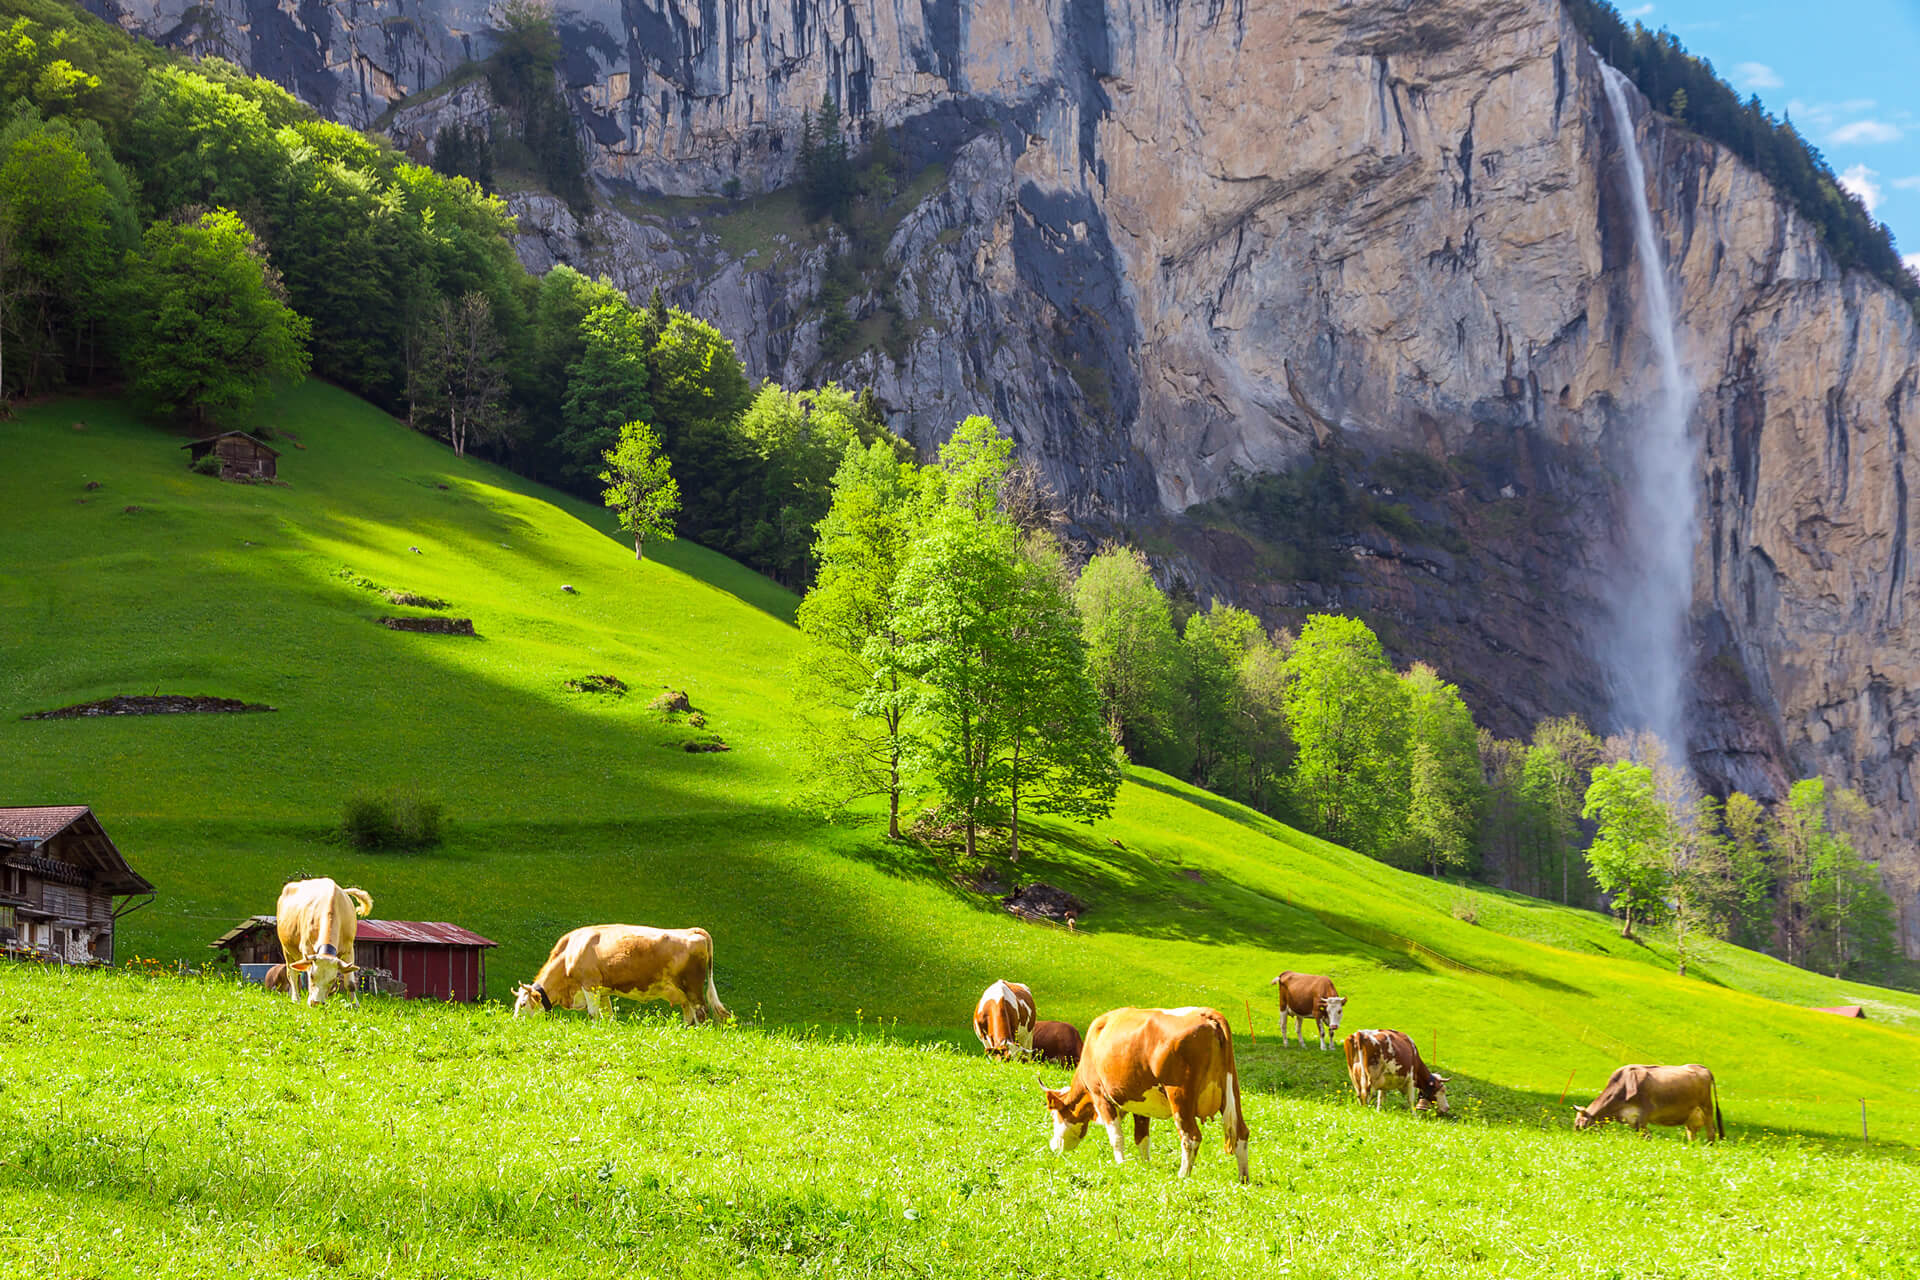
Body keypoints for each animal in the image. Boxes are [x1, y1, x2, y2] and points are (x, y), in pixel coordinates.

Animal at [276, 875, 372, 1005]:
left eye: (332, 980)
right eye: (312, 976)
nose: (316, 1002)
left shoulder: (349, 950)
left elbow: (350, 984)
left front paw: (355, 1005)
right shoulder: (307, 949)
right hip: (286, 949)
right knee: (292, 974)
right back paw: (295, 999)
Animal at [514, 924, 729, 1028]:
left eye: (523, 1004)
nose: (514, 1023)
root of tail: (693, 931)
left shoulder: (590, 985)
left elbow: (593, 1014)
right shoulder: (603, 991)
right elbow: (608, 1016)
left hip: (693, 987)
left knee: (701, 1014)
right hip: (683, 993)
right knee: (689, 1016)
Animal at [1044, 1005, 1251, 1189]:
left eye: (1055, 1116)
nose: (1053, 1146)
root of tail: (1205, 1013)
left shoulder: (1100, 1096)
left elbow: (1116, 1137)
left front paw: (1121, 1165)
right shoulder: (1141, 1105)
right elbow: (1142, 1138)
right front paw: (1145, 1167)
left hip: (1179, 1097)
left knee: (1190, 1137)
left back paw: (1183, 1175)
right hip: (1232, 1091)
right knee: (1241, 1132)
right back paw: (1243, 1179)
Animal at [1574, 1066, 1728, 1143]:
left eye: (1580, 1126)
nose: (1576, 1140)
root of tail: (1702, 1068)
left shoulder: (1643, 1115)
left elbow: (1646, 1137)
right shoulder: (1632, 1119)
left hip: (1706, 1108)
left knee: (1711, 1132)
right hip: (1692, 1116)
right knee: (1692, 1134)